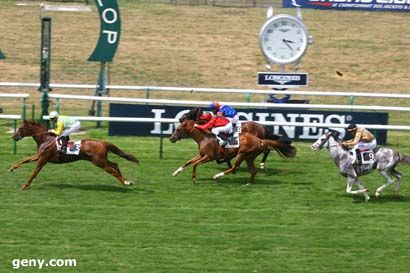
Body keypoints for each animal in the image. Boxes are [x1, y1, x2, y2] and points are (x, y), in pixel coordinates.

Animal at [10, 120, 139, 189]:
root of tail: (101, 142)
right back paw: (126, 181)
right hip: (101, 160)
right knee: (115, 165)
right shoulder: (39, 156)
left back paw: (126, 182)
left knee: (113, 171)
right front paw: (12, 168)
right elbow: (24, 160)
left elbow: (34, 173)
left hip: (99, 162)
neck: (45, 139)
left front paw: (25, 185)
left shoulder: (43, 159)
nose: (13, 136)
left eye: (21, 128)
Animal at [168, 118, 296, 184]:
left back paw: (217, 175)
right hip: (249, 157)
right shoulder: (201, 154)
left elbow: (194, 164)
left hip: (242, 153)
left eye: (178, 129)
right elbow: (188, 162)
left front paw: (194, 179)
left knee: (234, 168)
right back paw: (248, 183)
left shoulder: (209, 157)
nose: (171, 138)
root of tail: (259, 140)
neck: (204, 137)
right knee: (253, 171)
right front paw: (175, 172)